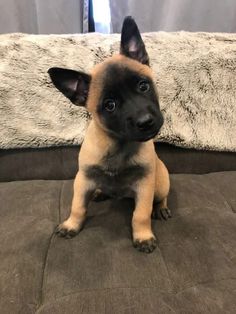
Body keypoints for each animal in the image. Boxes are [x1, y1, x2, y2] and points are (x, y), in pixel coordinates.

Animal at [48, 15, 170, 254]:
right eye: (110, 105)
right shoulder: (83, 180)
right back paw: (100, 192)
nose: (146, 122)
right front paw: (71, 225)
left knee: (161, 198)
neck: (118, 145)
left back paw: (160, 208)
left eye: (143, 86)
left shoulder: (144, 186)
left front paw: (143, 236)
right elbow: (78, 207)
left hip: (160, 185)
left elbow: (140, 215)